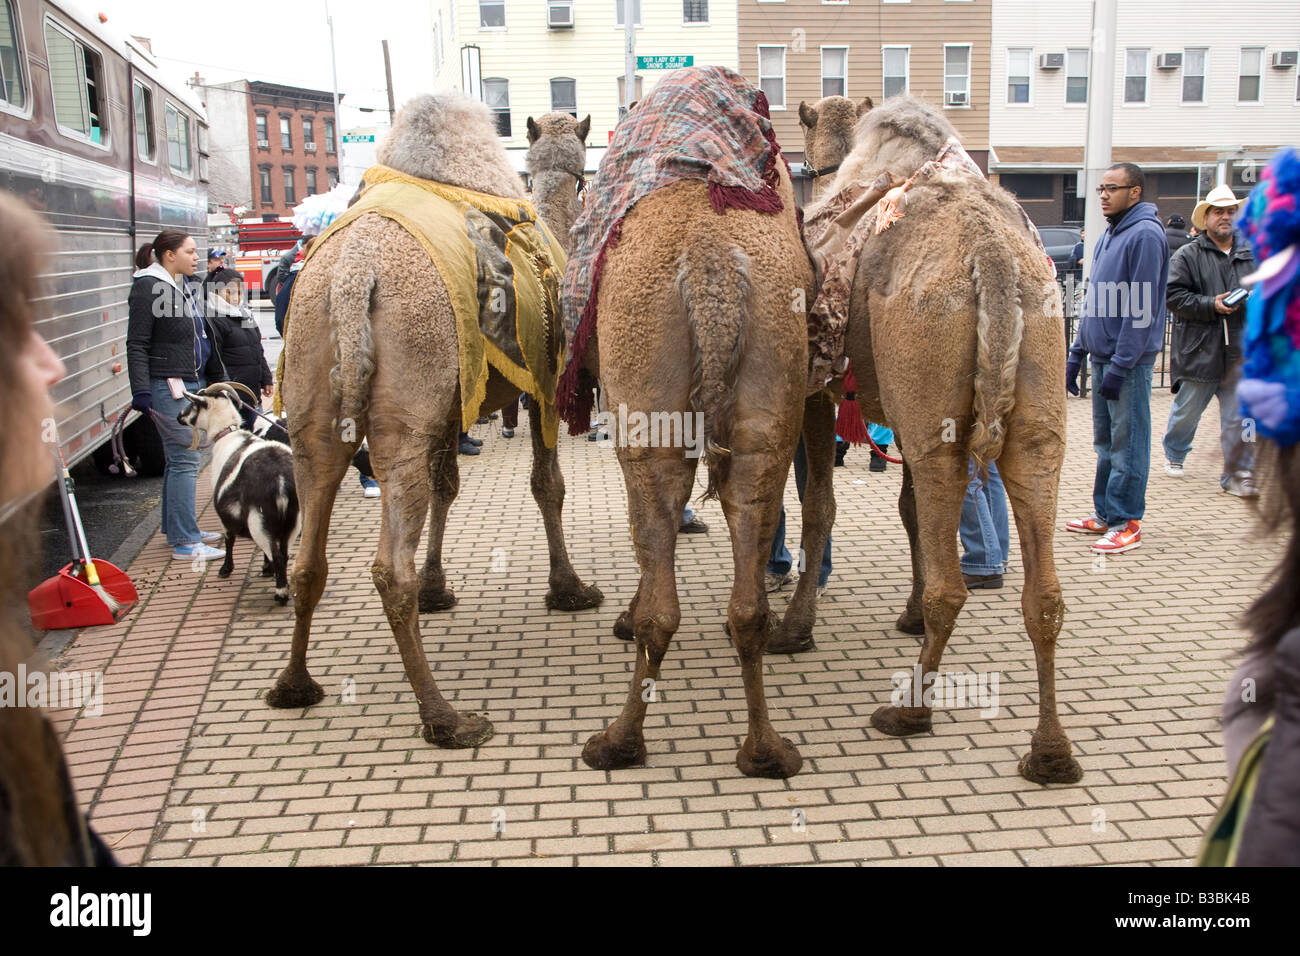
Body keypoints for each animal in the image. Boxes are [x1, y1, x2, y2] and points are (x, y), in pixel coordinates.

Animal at [572, 70, 811, 780]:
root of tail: (711, 264)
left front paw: (623, 617)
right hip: (771, 393)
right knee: (750, 538)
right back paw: (766, 749)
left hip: (646, 407)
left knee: (661, 573)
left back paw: (618, 739)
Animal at [774, 95, 1081, 785]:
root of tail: (993, 256)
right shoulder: (902, 409)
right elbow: (911, 509)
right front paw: (908, 614)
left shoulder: (817, 392)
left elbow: (820, 507)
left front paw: (797, 627)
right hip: (1028, 411)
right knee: (1044, 591)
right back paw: (1050, 752)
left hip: (932, 399)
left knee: (954, 586)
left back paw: (908, 710)